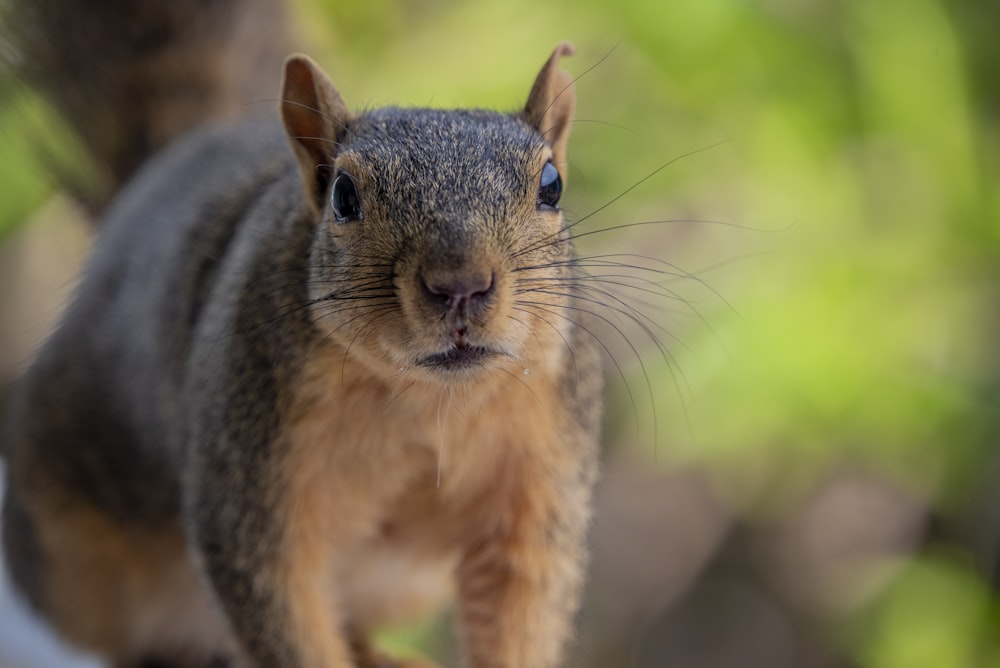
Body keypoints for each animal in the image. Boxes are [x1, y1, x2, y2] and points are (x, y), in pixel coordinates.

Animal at [0, 1, 600, 668]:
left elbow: (519, 605)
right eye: (343, 195)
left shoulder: (539, 481)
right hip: (73, 554)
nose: (460, 285)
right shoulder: (248, 484)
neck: (427, 398)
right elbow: (279, 608)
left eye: (551, 185)